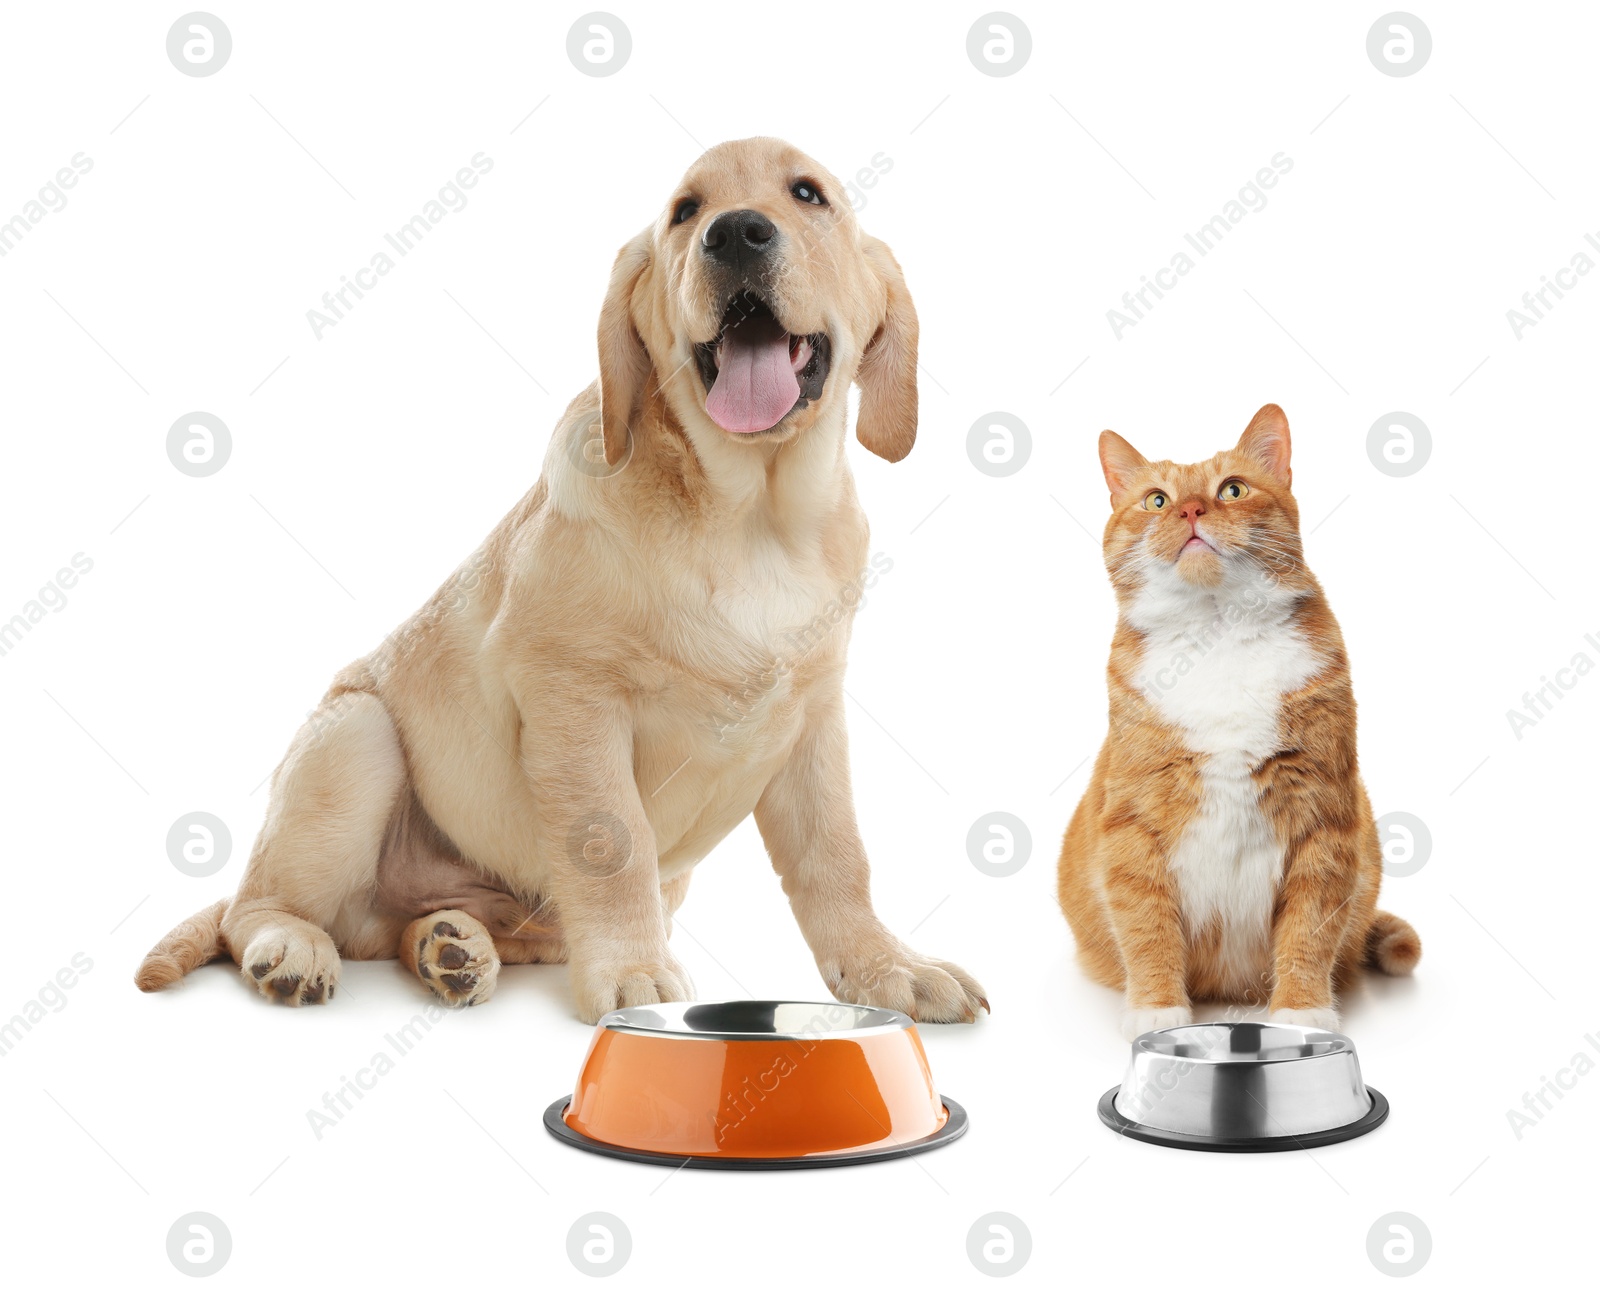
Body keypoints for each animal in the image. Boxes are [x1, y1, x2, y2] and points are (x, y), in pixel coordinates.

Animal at [137, 139, 985, 1030]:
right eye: (686, 211)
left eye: (808, 195)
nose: (735, 233)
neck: (752, 517)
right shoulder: (572, 693)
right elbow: (613, 842)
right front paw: (635, 973)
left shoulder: (812, 713)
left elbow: (837, 855)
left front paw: (887, 966)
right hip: (355, 738)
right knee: (256, 907)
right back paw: (295, 949)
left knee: (406, 927)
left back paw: (449, 946)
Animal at [1062, 403, 1414, 1043]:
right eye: (1156, 500)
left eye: (1233, 489)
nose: (1190, 510)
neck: (1218, 631)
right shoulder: (1132, 825)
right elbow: (1147, 925)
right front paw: (1156, 1009)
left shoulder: (1322, 819)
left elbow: (1308, 930)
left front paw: (1301, 1012)